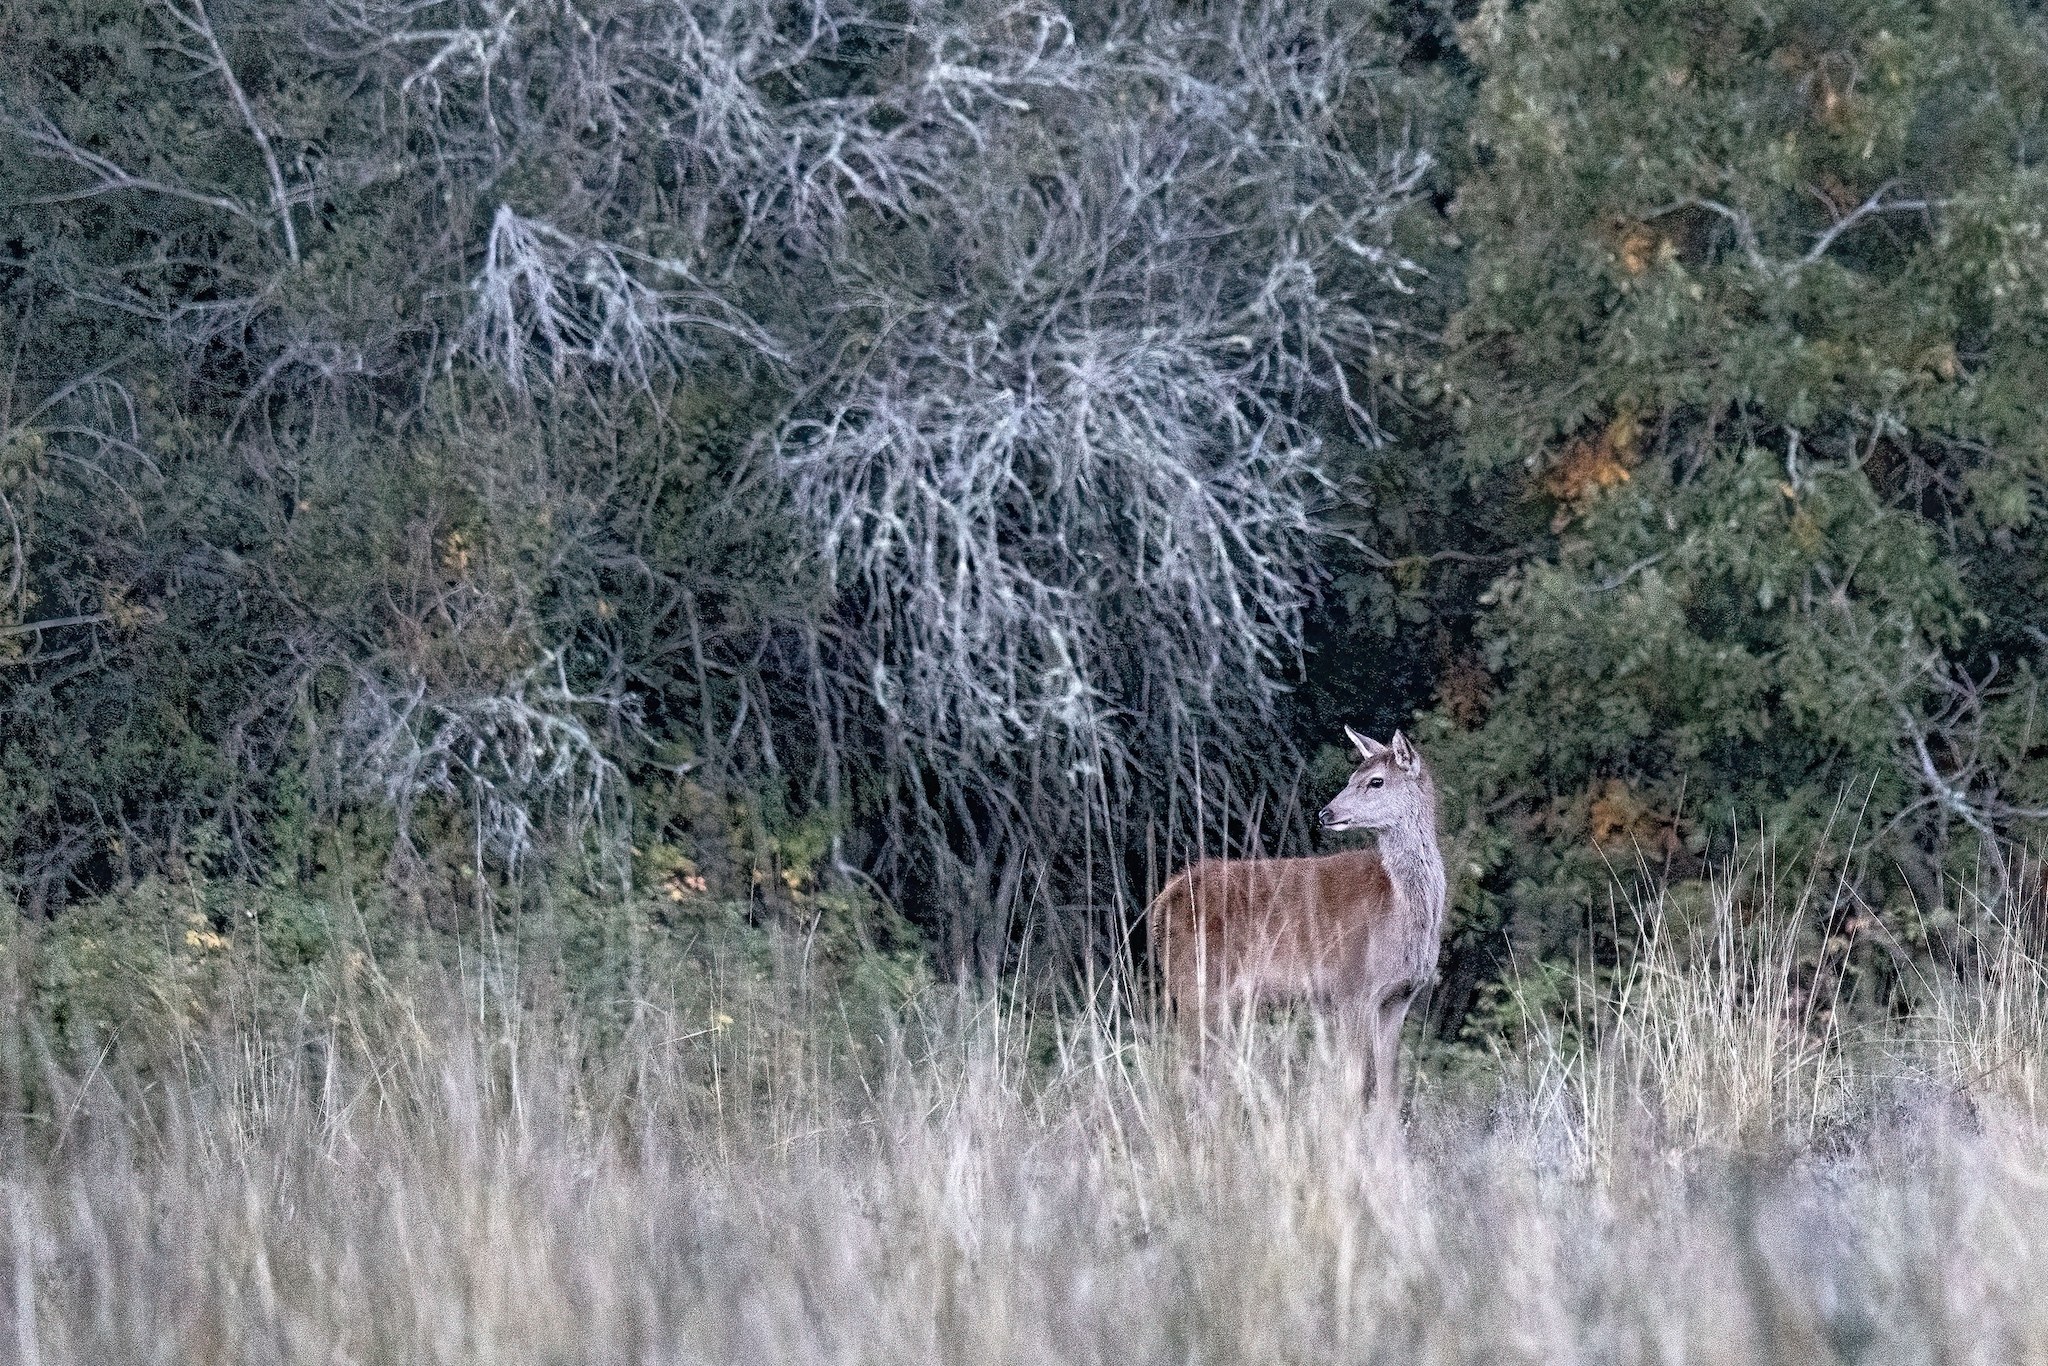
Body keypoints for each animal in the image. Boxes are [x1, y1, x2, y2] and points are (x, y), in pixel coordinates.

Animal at [1150, 728, 1447, 1110]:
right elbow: (1354, 1083)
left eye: (1376, 780)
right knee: (1187, 1069)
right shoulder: (1351, 987)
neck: (1399, 909)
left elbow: (1388, 1089)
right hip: (1196, 982)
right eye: (1351, 777)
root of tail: (1164, 898)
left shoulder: (1398, 996)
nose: (1325, 813)